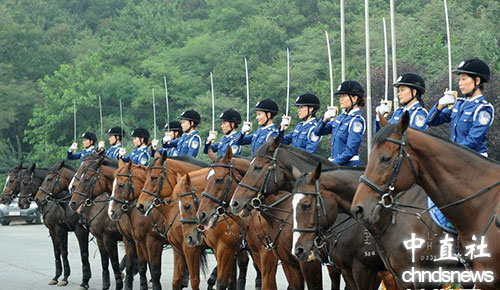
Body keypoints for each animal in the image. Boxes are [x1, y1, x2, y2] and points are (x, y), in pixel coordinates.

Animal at [137, 155, 209, 290]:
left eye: (154, 177)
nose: (140, 206)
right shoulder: (177, 248)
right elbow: (176, 280)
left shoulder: (191, 248)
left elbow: (194, 280)